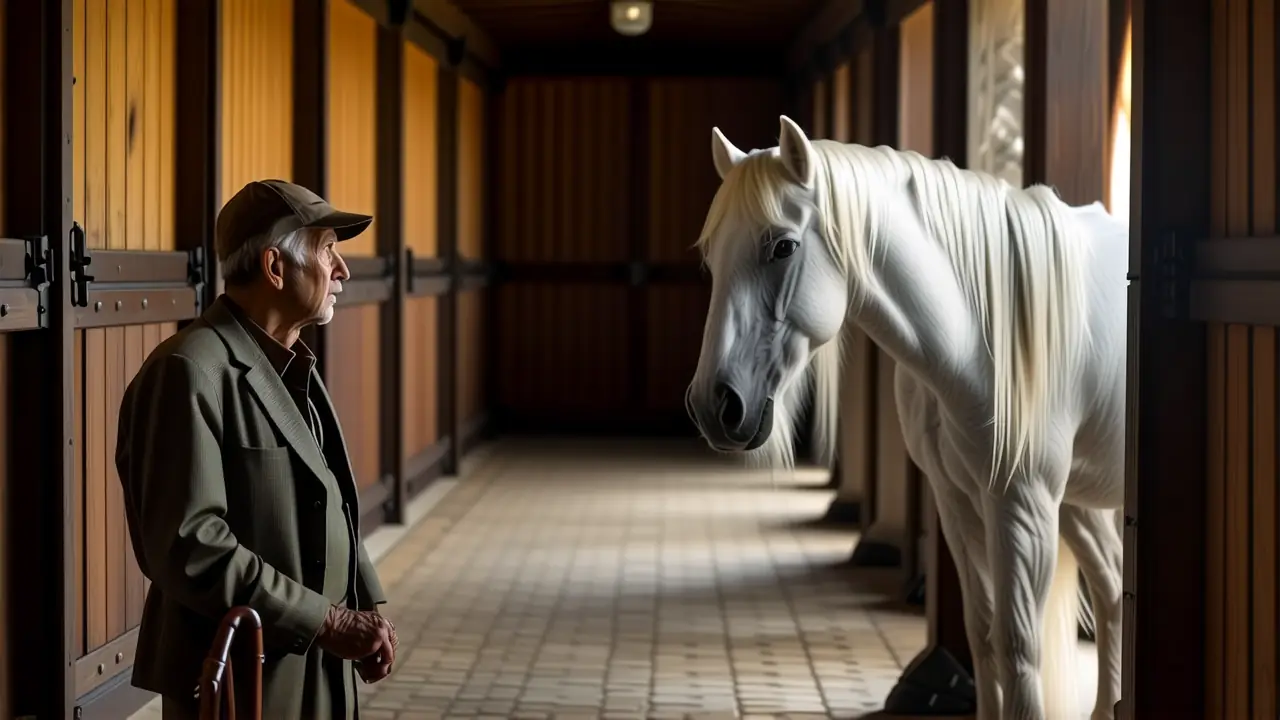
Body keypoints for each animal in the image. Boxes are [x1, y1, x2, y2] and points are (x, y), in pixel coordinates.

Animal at [685, 115, 1126, 720]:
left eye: (783, 246)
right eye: (712, 255)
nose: (714, 405)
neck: (982, 335)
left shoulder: (1023, 503)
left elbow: (1019, 647)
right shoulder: (957, 500)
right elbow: (983, 633)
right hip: (1080, 500)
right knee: (1112, 589)